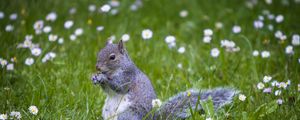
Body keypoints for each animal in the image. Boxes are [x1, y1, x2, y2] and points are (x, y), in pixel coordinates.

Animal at [90, 40, 238, 120]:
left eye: (112, 57)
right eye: (99, 52)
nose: (97, 67)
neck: (115, 70)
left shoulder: (128, 76)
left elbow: (119, 86)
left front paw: (103, 77)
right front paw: (95, 77)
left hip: (127, 115)